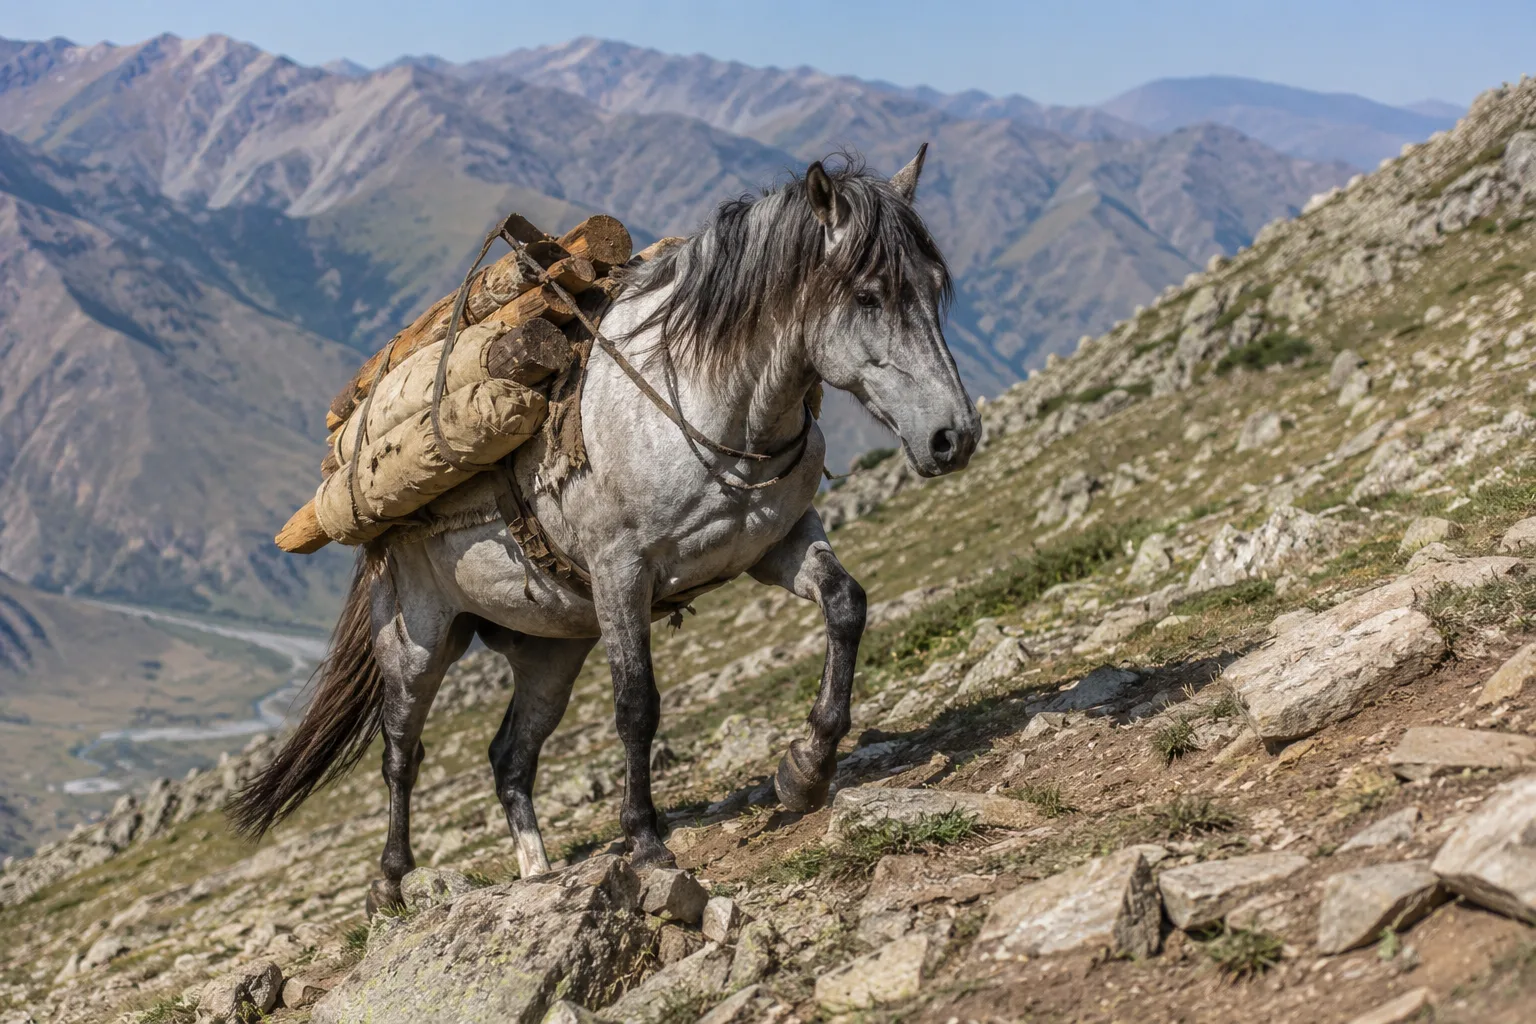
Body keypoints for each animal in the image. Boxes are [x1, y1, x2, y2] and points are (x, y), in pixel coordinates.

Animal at [230, 147, 980, 910]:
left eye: (934, 287)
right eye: (868, 295)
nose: (953, 437)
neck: (705, 405)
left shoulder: (778, 542)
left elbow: (845, 604)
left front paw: (806, 768)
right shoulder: (623, 574)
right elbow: (636, 705)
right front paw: (645, 844)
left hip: (551, 650)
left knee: (510, 754)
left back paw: (536, 870)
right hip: (417, 643)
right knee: (400, 753)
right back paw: (389, 885)